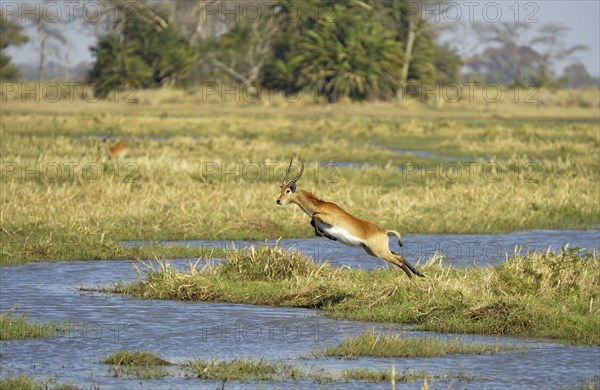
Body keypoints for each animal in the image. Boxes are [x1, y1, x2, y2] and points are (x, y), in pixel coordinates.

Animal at [276, 157, 422, 278]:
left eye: (288, 191)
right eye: (281, 189)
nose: (278, 201)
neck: (320, 205)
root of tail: (384, 231)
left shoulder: (329, 219)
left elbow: (314, 217)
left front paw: (328, 236)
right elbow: (312, 221)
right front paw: (330, 236)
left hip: (380, 252)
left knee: (398, 261)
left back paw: (413, 278)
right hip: (372, 251)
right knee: (398, 255)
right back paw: (420, 274)